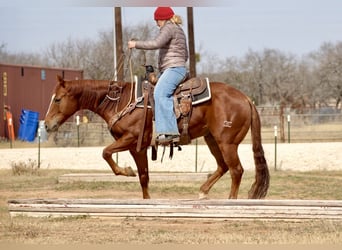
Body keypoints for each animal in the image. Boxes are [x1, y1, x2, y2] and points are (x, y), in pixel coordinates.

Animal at [44, 74, 270, 199]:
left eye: (57, 99)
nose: (46, 124)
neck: (121, 101)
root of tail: (246, 98)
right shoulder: (138, 148)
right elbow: (144, 176)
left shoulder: (131, 140)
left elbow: (106, 152)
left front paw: (126, 171)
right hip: (212, 139)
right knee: (223, 167)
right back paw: (203, 191)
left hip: (227, 142)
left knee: (236, 170)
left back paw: (231, 199)